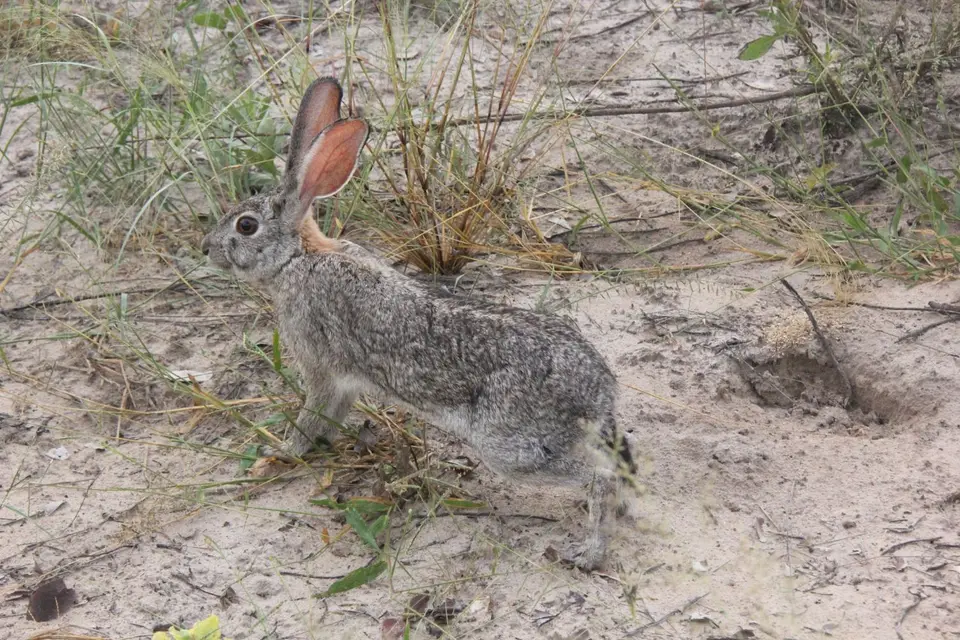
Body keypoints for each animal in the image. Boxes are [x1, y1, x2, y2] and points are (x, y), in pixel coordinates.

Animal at [200, 77, 637, 570]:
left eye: (246, 226)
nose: (206, 248)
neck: (299, 258)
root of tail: (599, 391)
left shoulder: (321, 368)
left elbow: (310, 417)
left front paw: (281, 453)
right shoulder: (345, 383)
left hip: (510, 446)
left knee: (600, 475)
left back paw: (590, 552)